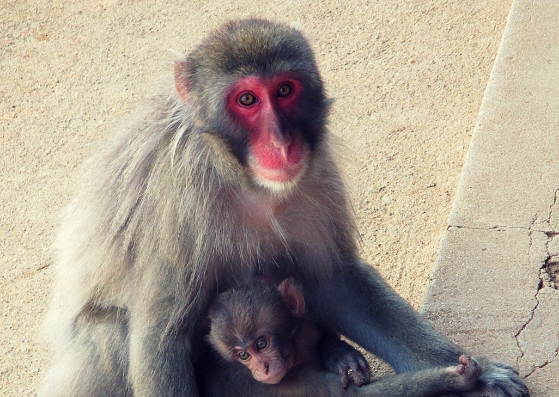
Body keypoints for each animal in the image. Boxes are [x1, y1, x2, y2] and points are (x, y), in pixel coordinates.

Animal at [199, 278, 484, 396]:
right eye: (243, 355)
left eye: (261, 343)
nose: (263, 369)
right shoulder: (287, 381)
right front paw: (452, 379)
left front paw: (339, 355)